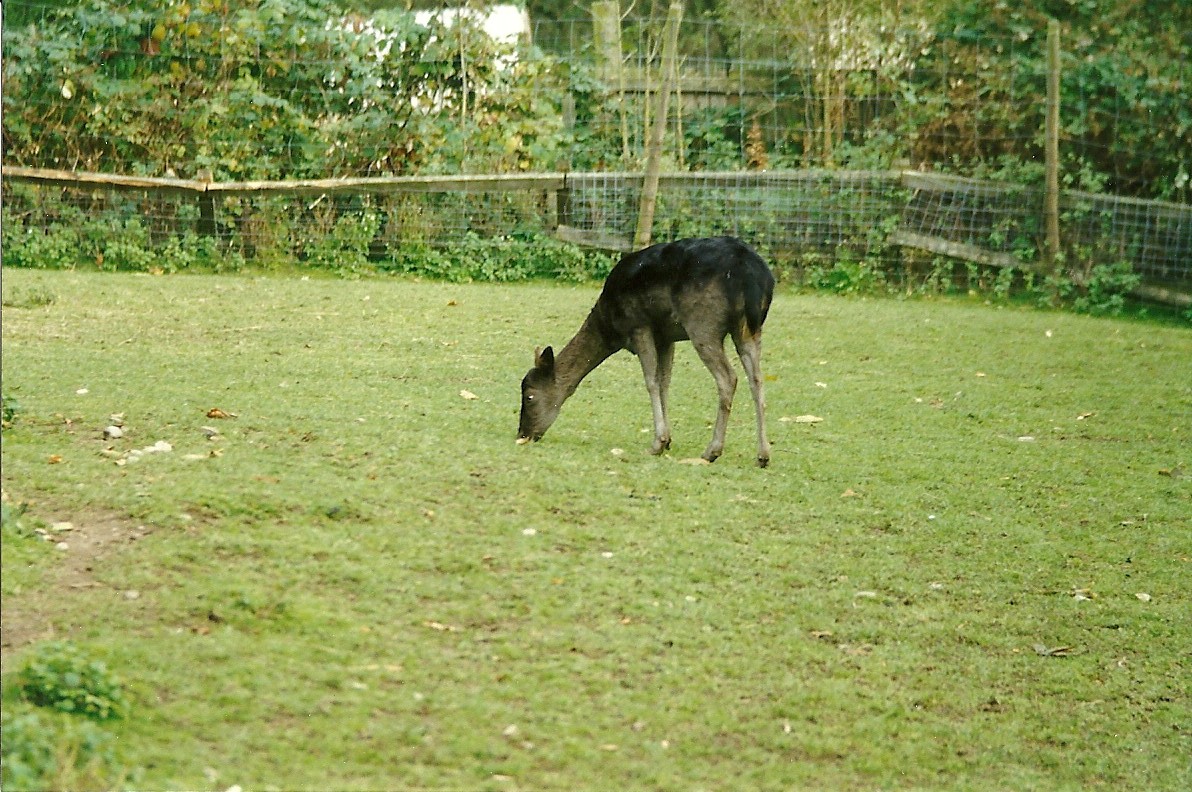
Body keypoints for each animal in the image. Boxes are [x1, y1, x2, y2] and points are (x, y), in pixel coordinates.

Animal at [517, 236, 775, 467]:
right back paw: (762, 455)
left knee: (728, 378)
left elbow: (651, 381)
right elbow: (665, 382)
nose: (523, 434)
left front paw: (657, 443)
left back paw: (712, 451)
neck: (610, 326)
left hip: (703, 324)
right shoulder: (666, 336)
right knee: (757, 379)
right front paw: (668, 440)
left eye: (529, 395)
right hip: (749, 330)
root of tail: (752, 273)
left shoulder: (639, 325)